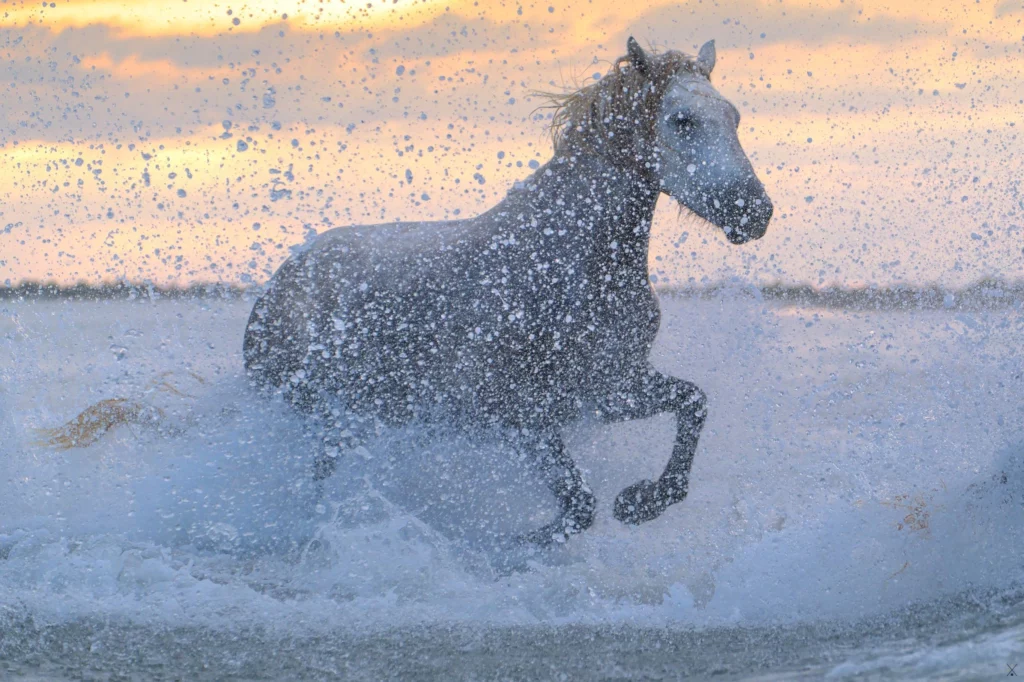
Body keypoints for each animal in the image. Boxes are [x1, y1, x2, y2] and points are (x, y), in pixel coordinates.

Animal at [242, 37, 773, 545]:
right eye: (682, 120)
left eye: (734, 117)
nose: (755, 211)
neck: (564, 265)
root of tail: (281, 280)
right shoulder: (516, 417)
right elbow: (578, 508)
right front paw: (499, 551)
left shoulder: (606, 392)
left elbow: (693, 403)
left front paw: (642, 502)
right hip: (322, 415)